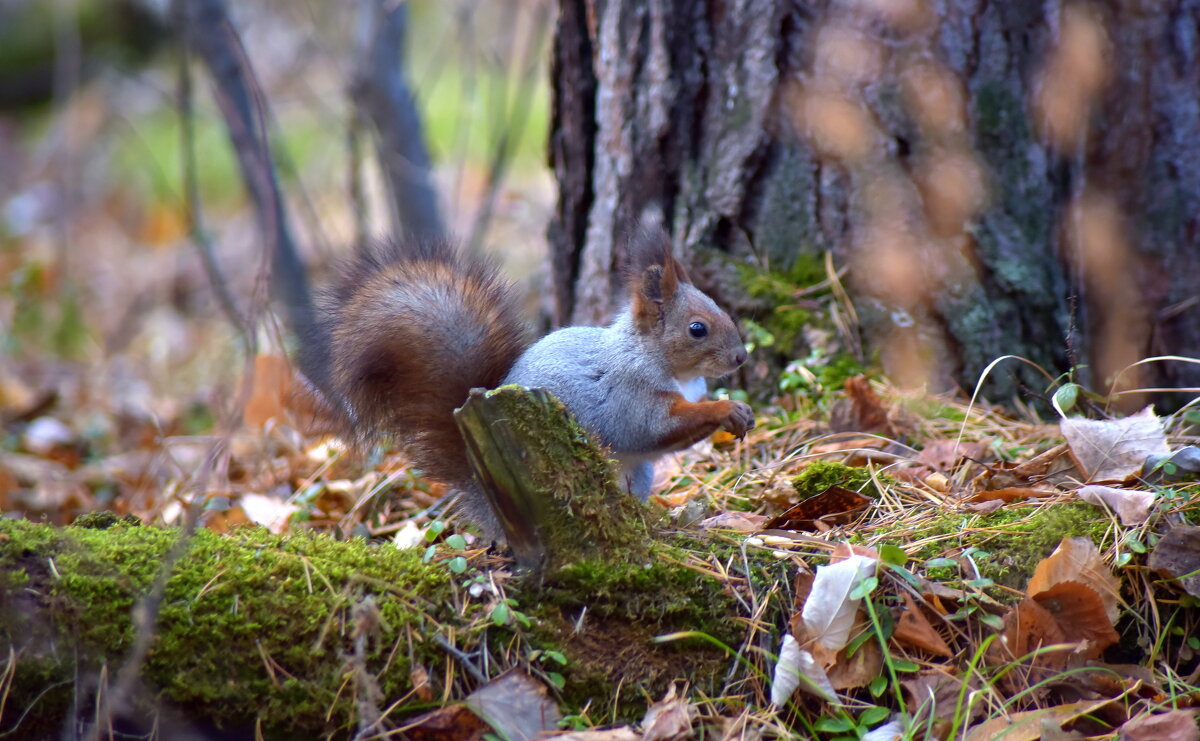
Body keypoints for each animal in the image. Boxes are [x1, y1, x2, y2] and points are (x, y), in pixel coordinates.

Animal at [314, 221, 753, 534]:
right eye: (697, 328)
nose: (741, 357)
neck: (664, 363)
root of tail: (488, 500)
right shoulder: (629, 394)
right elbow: (654, 427)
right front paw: (727, 409)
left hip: (638, 474)